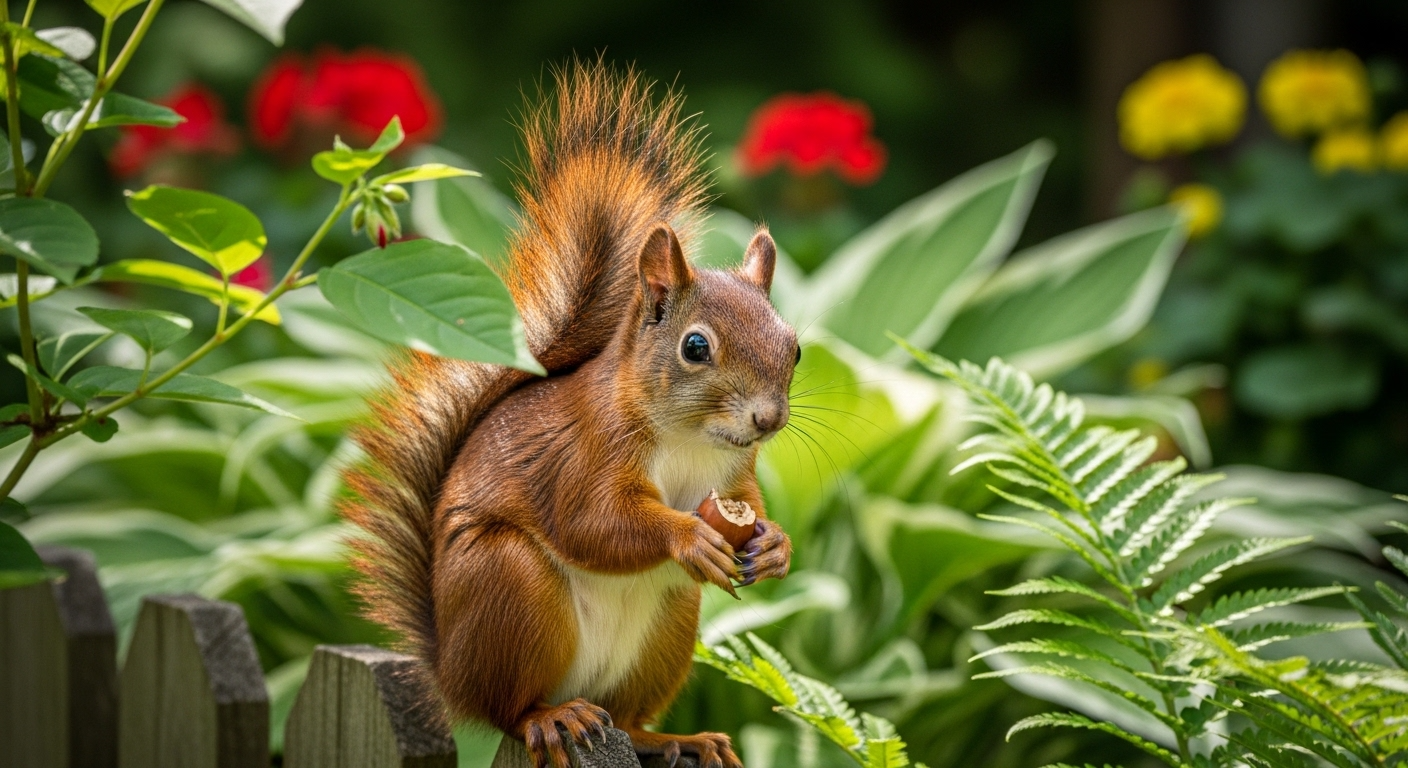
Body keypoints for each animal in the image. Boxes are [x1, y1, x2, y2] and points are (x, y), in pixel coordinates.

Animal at [341, 60, 798, 768]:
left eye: (795, 347)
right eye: (696, 347)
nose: (768, 420)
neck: (690, 440)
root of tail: (451, 675)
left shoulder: (734, 478)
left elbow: (747, 507)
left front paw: (774, 545)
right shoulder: (586, 452)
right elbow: (595, 524)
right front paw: (687, 536)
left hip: (670, 623)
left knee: (628, 716)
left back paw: (673, 737)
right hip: (509, 586)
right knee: (509, 710)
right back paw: (550, 718)